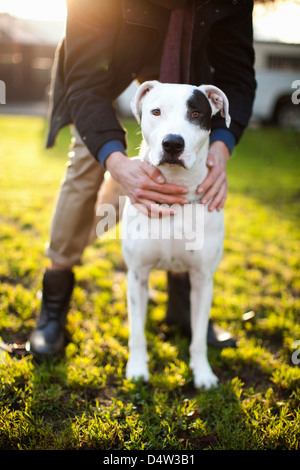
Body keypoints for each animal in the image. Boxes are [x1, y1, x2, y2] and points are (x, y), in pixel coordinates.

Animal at [119, 81, 230, 390]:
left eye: (196, 113)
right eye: (156, 111)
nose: (172, 143)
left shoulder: (203, 280)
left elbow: (199, 337)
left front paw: (202, 373)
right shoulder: (137, 275)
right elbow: (136, 332)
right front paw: (137, 368)